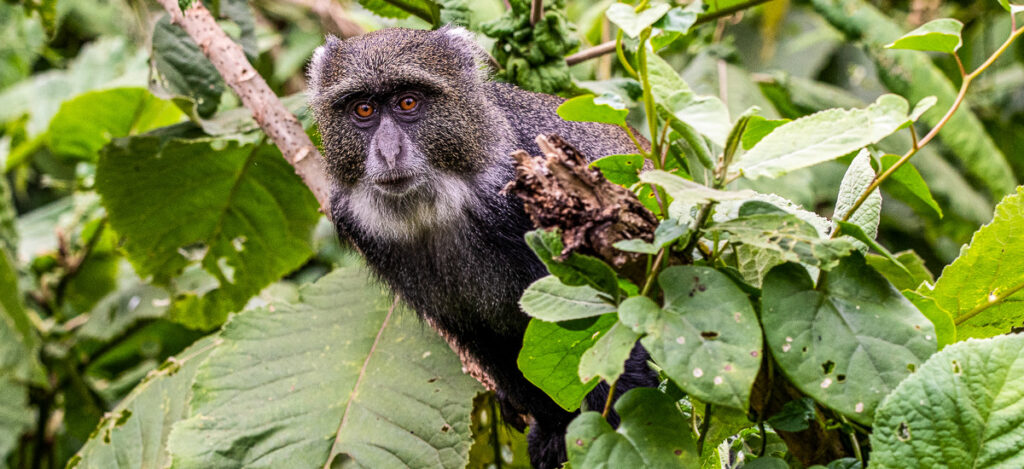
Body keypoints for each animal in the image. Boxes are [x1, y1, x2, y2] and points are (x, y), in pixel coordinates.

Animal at [307, 27, 659, 469]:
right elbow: (492, 344)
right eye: (363, 110)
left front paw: (611, 428)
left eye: (408, 102)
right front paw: (554, 427)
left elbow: (607, 324)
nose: (388, 152)